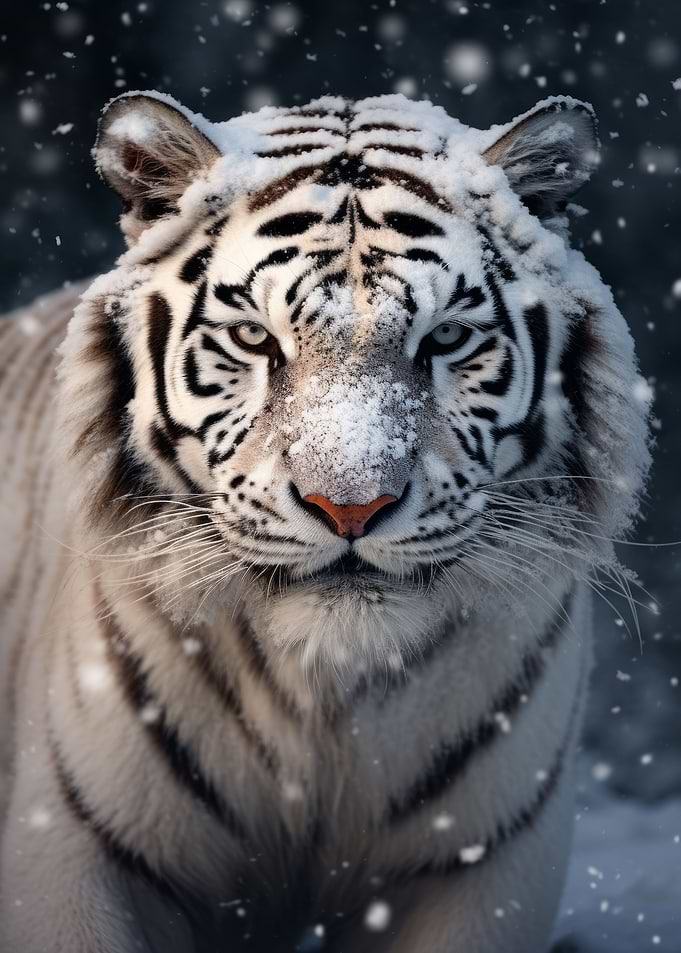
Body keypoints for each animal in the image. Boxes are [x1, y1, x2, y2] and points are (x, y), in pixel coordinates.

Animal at [0, 92, 651, 953]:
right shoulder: (81, 851)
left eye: (446, 337)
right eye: (253, 337)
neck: (322, 703)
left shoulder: (476, 868)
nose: (351, 505)